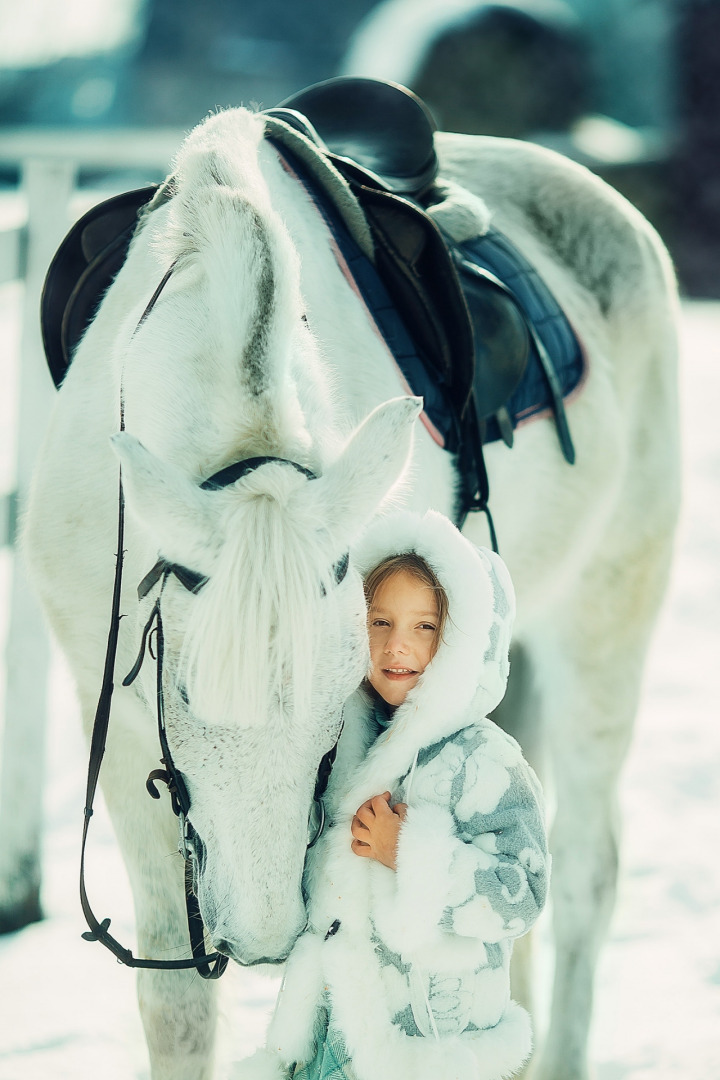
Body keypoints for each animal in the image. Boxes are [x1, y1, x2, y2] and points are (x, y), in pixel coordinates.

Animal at [23, 103, 682, 1080]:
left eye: (342, 703)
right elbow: (177, 1007)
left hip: (608, 613)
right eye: (183, 694)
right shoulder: (107, 719)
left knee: (586, 874)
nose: (261, 938)